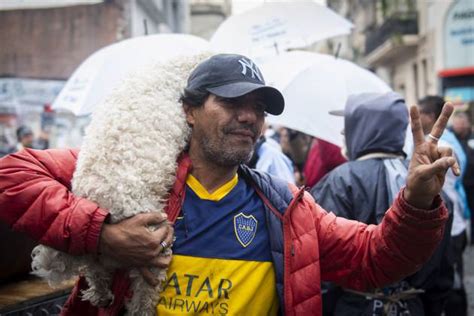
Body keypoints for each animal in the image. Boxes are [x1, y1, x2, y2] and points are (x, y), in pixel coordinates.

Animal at [32, 52, 210, 316]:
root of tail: (103, 203)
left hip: (100, 253)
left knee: (96, 272)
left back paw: (101, 295)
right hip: (153, 240)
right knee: (144, 289)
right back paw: (140, 308)